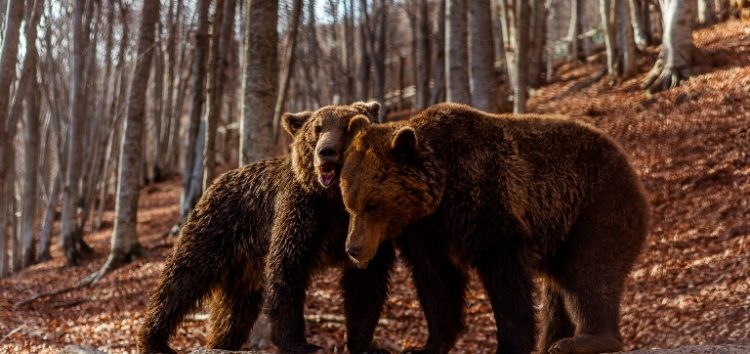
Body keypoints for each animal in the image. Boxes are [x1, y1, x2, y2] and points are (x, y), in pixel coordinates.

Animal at [340, 102, 652, 354]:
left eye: (372, 204)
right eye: (349, 203)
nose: (353, 248)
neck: (440, 192)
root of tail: (629, 165)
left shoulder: (482, 195)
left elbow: (504, 272)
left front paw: (510, 343)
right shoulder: (425, 230)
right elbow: (437, 280)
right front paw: (427, 345)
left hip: (597, 205)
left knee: (589, 271)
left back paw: (586, 340)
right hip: (563, 230)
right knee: (559, 289)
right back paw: (552, 341)